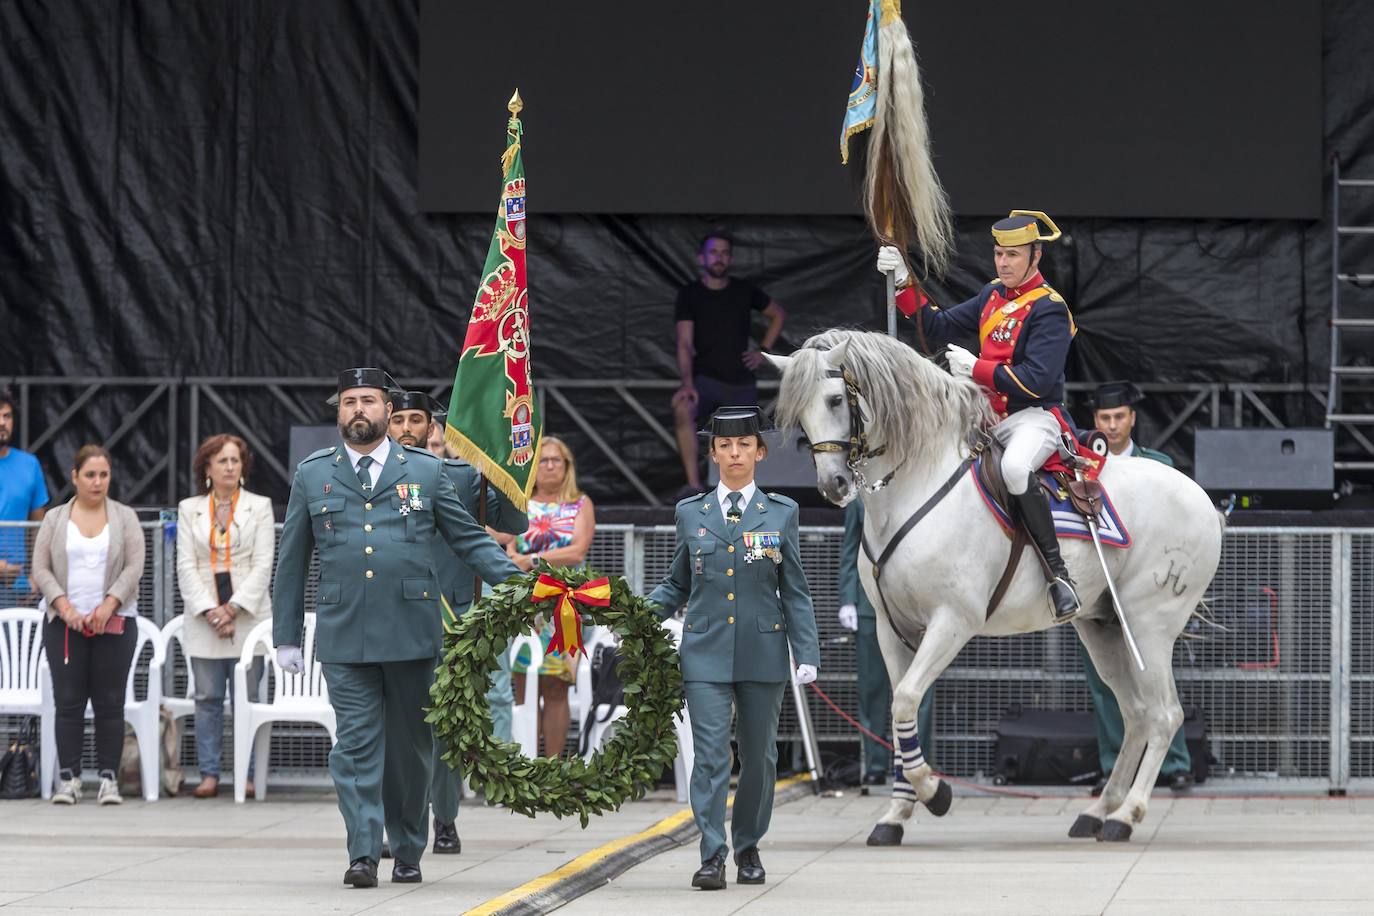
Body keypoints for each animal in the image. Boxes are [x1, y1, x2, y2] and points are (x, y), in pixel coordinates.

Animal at [763, 329, 1225, 845]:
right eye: (798, 413)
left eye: (835, 399)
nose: (835, 484)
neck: (916, 486)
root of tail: (1201, 498)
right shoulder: (890, 628)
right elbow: (902, 711)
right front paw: (896, 813)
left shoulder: (952, 621)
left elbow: (906, 699)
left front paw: (934, 793)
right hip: (1104, 627)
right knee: (1138, 713)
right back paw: (1099, 811)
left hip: (1148, 626)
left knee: (1165, 715)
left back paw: (1126, 816)